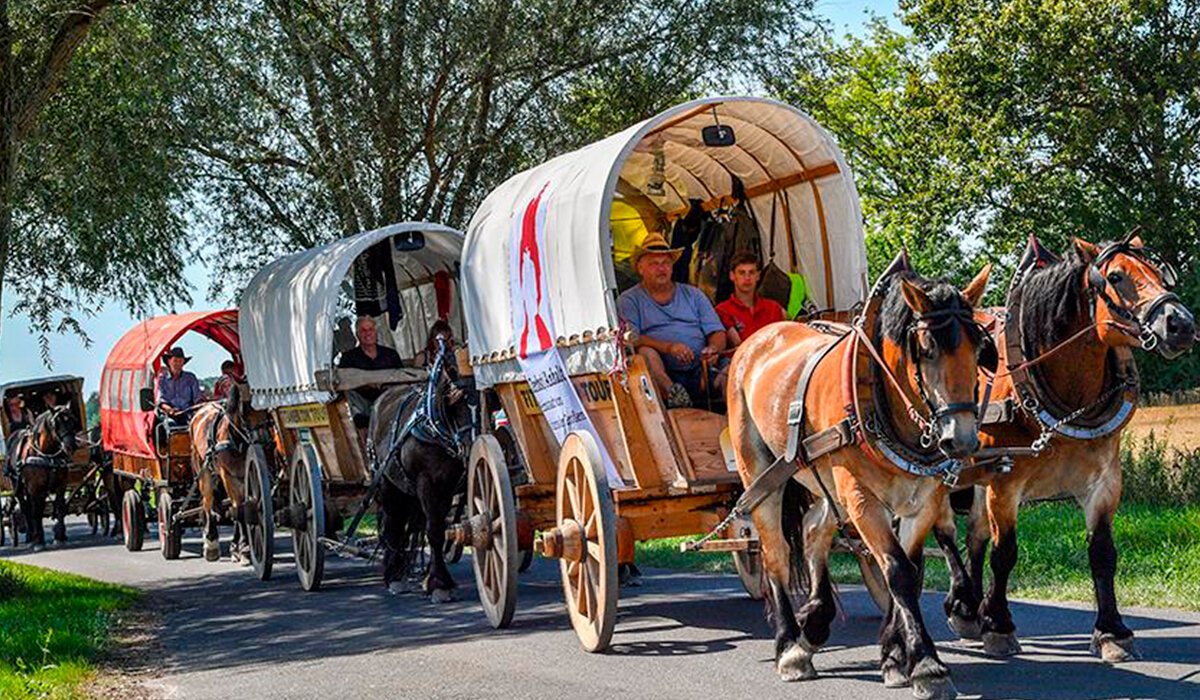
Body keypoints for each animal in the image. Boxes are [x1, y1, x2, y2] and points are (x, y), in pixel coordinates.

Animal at [8, 408, 78, 549]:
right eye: (56, 424)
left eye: (73, 421)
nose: (70, 446)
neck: (47, 454)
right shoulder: (34, 487)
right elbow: (36, 512)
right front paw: (39, 541)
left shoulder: (61, 484)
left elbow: (60, 507)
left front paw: (59, 537)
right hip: (18, 485)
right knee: (26, 508)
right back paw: (31, 537)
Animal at [188, 386, 249, 561]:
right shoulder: (228, 476)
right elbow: (238, 509)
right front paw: (244, 548)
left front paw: (238, 547)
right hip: (204, 472)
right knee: (207, 503)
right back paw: (211, 543)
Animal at [369, 338, 472, 602]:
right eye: (454, 401)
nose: (468, 449)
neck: (434, 429)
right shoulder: (427, 483)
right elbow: (433, 531)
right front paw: (439, 585)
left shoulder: (446, 488)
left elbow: (438, 529)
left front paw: (435, 579)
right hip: (386, 484)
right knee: (393, 525)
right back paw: (395, 577)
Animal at [729, 259, 993, 700]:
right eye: (927, 349)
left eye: (979, 349)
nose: (961, 439)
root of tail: (759, 339)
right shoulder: (861, 497)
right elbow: (898, 571)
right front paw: (927, 665)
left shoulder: (922, 499)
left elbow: (909, 572)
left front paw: (894, 656)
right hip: (759, 469)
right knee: (775, 551)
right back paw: (789, 647)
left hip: (821, 478)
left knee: (814, 530)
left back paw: (814, 625)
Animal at [931, 235, 1195, 662]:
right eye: (1116, 276)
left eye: (1158, 271)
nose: (1181, 324)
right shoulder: (1006, 484)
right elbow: (1005, 553)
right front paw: (999, 626)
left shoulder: (1104, 482)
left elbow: (1102, 553)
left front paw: (1112, 631)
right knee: (945, 532)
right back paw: (964, 602)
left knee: (974, 535)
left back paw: (972, 609)